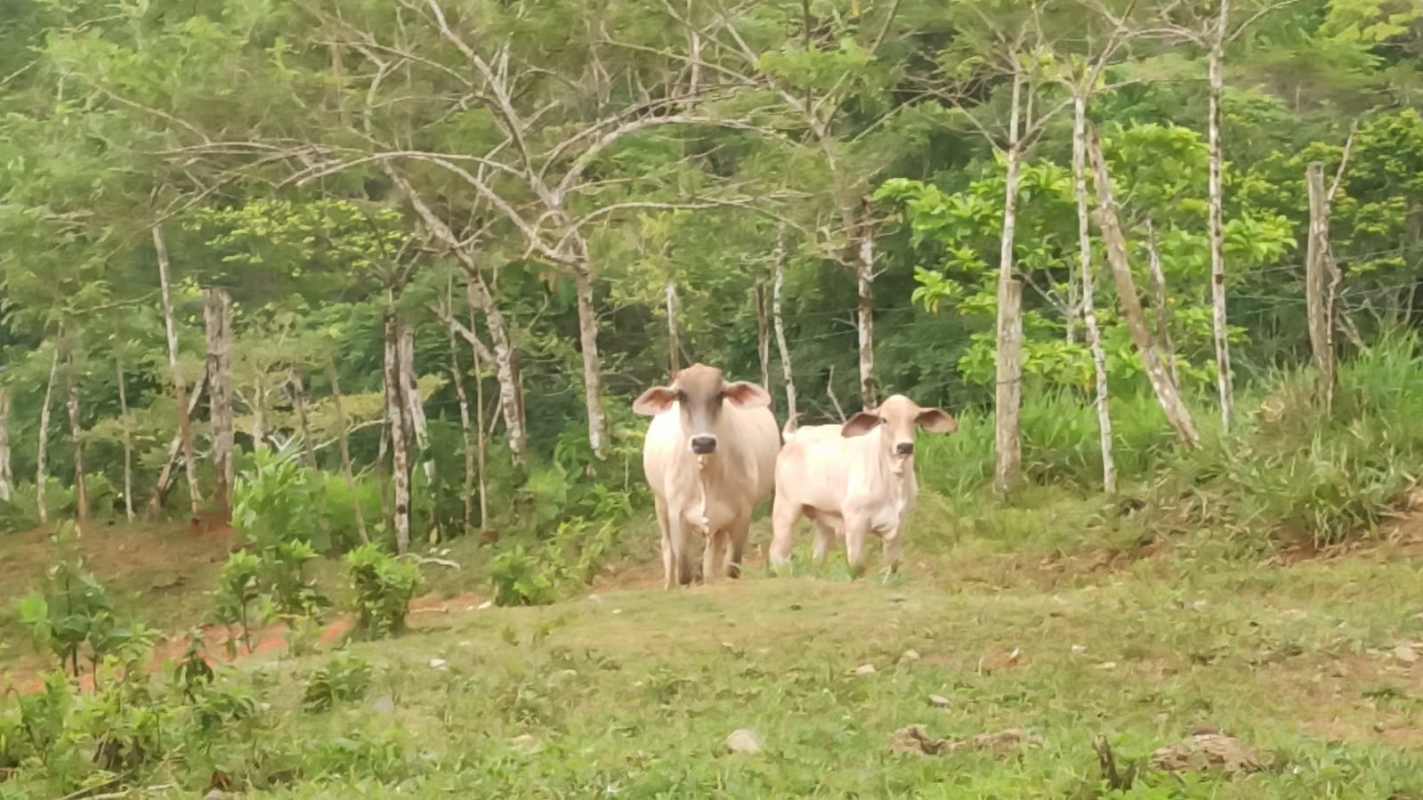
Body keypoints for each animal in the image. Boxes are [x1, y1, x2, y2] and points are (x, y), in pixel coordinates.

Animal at [633, 363, 780, 589]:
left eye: (720, 395)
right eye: (681, 396)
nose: (703, 443)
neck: (706, 474)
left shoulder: (742, 515)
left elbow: (731, 569)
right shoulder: (677, 513)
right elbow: (685, 573)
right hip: (660, 502)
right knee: (667, 548)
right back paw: (669, 585)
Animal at [770, 394, 957, 578]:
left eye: (915, 419)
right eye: (884, 420)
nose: (905, 446)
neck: (894, 482)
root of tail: (794, 436)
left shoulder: (900, 523)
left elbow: (892, 565)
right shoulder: (855, 520)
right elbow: (857, 565)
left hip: (822, 516)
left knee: (818, 552)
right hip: (785, 508)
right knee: (777, 550)